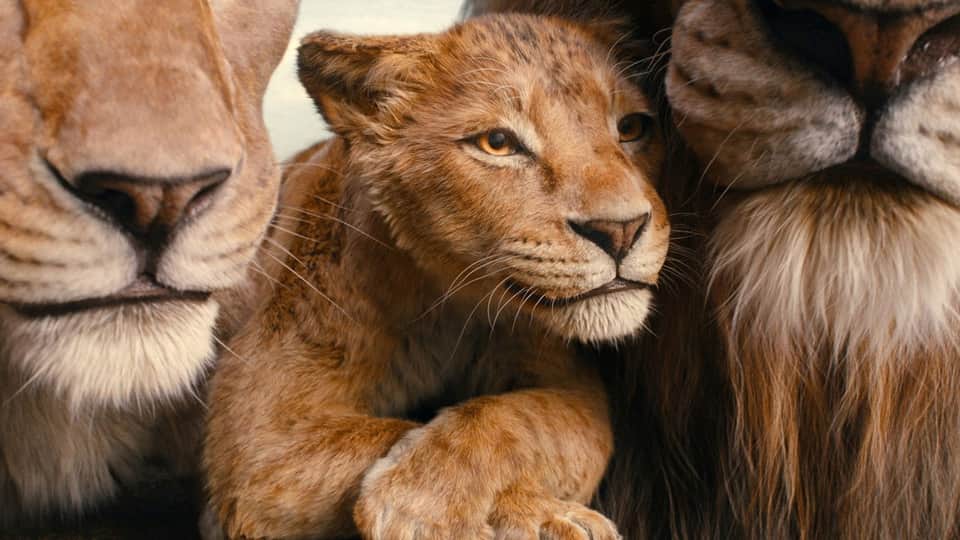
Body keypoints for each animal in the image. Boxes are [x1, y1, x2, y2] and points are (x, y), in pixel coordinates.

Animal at [202, 13, 670, 539]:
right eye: (497, 143)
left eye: (632, 127)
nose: (621, 230)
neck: (449, 305)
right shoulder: (260, 432)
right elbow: (382, 433)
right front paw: (448, 508)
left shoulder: (571, 384)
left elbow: (530, 421)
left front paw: (427, 494)